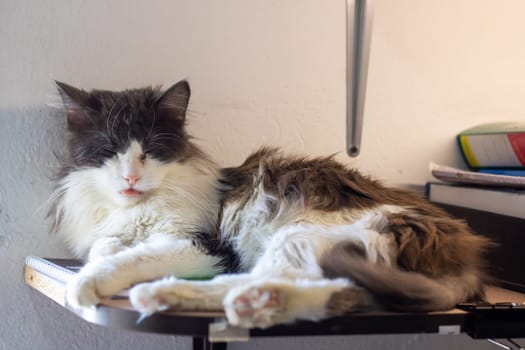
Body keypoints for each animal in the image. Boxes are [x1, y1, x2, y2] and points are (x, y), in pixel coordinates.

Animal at [51, 80, 490, 330]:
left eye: (150, 151)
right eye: (110, 150)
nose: (131, 178)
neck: (137, 210)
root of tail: (467, 257)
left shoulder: (203, 245)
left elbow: (129, 258)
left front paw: (86, 283)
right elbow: (106, 247)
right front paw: (102, 255)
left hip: (304, 234)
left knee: (282, 280)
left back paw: (181, 295)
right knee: (328, 291)